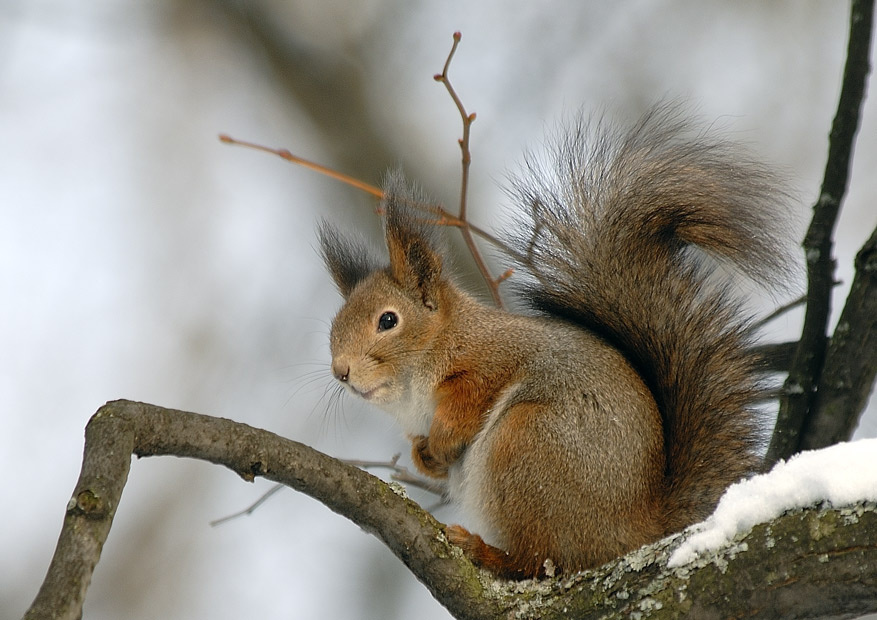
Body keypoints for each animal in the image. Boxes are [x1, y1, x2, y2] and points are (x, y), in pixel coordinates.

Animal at [318, 105, 796, 579]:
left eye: (388, 320)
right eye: (335, 325)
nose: (341, 371)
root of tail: (634, 529)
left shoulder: (489, 359)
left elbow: (469, 401)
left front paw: (443, 439)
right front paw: (425, 456)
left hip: (525, 442)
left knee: (539, 559)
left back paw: (484, 551)